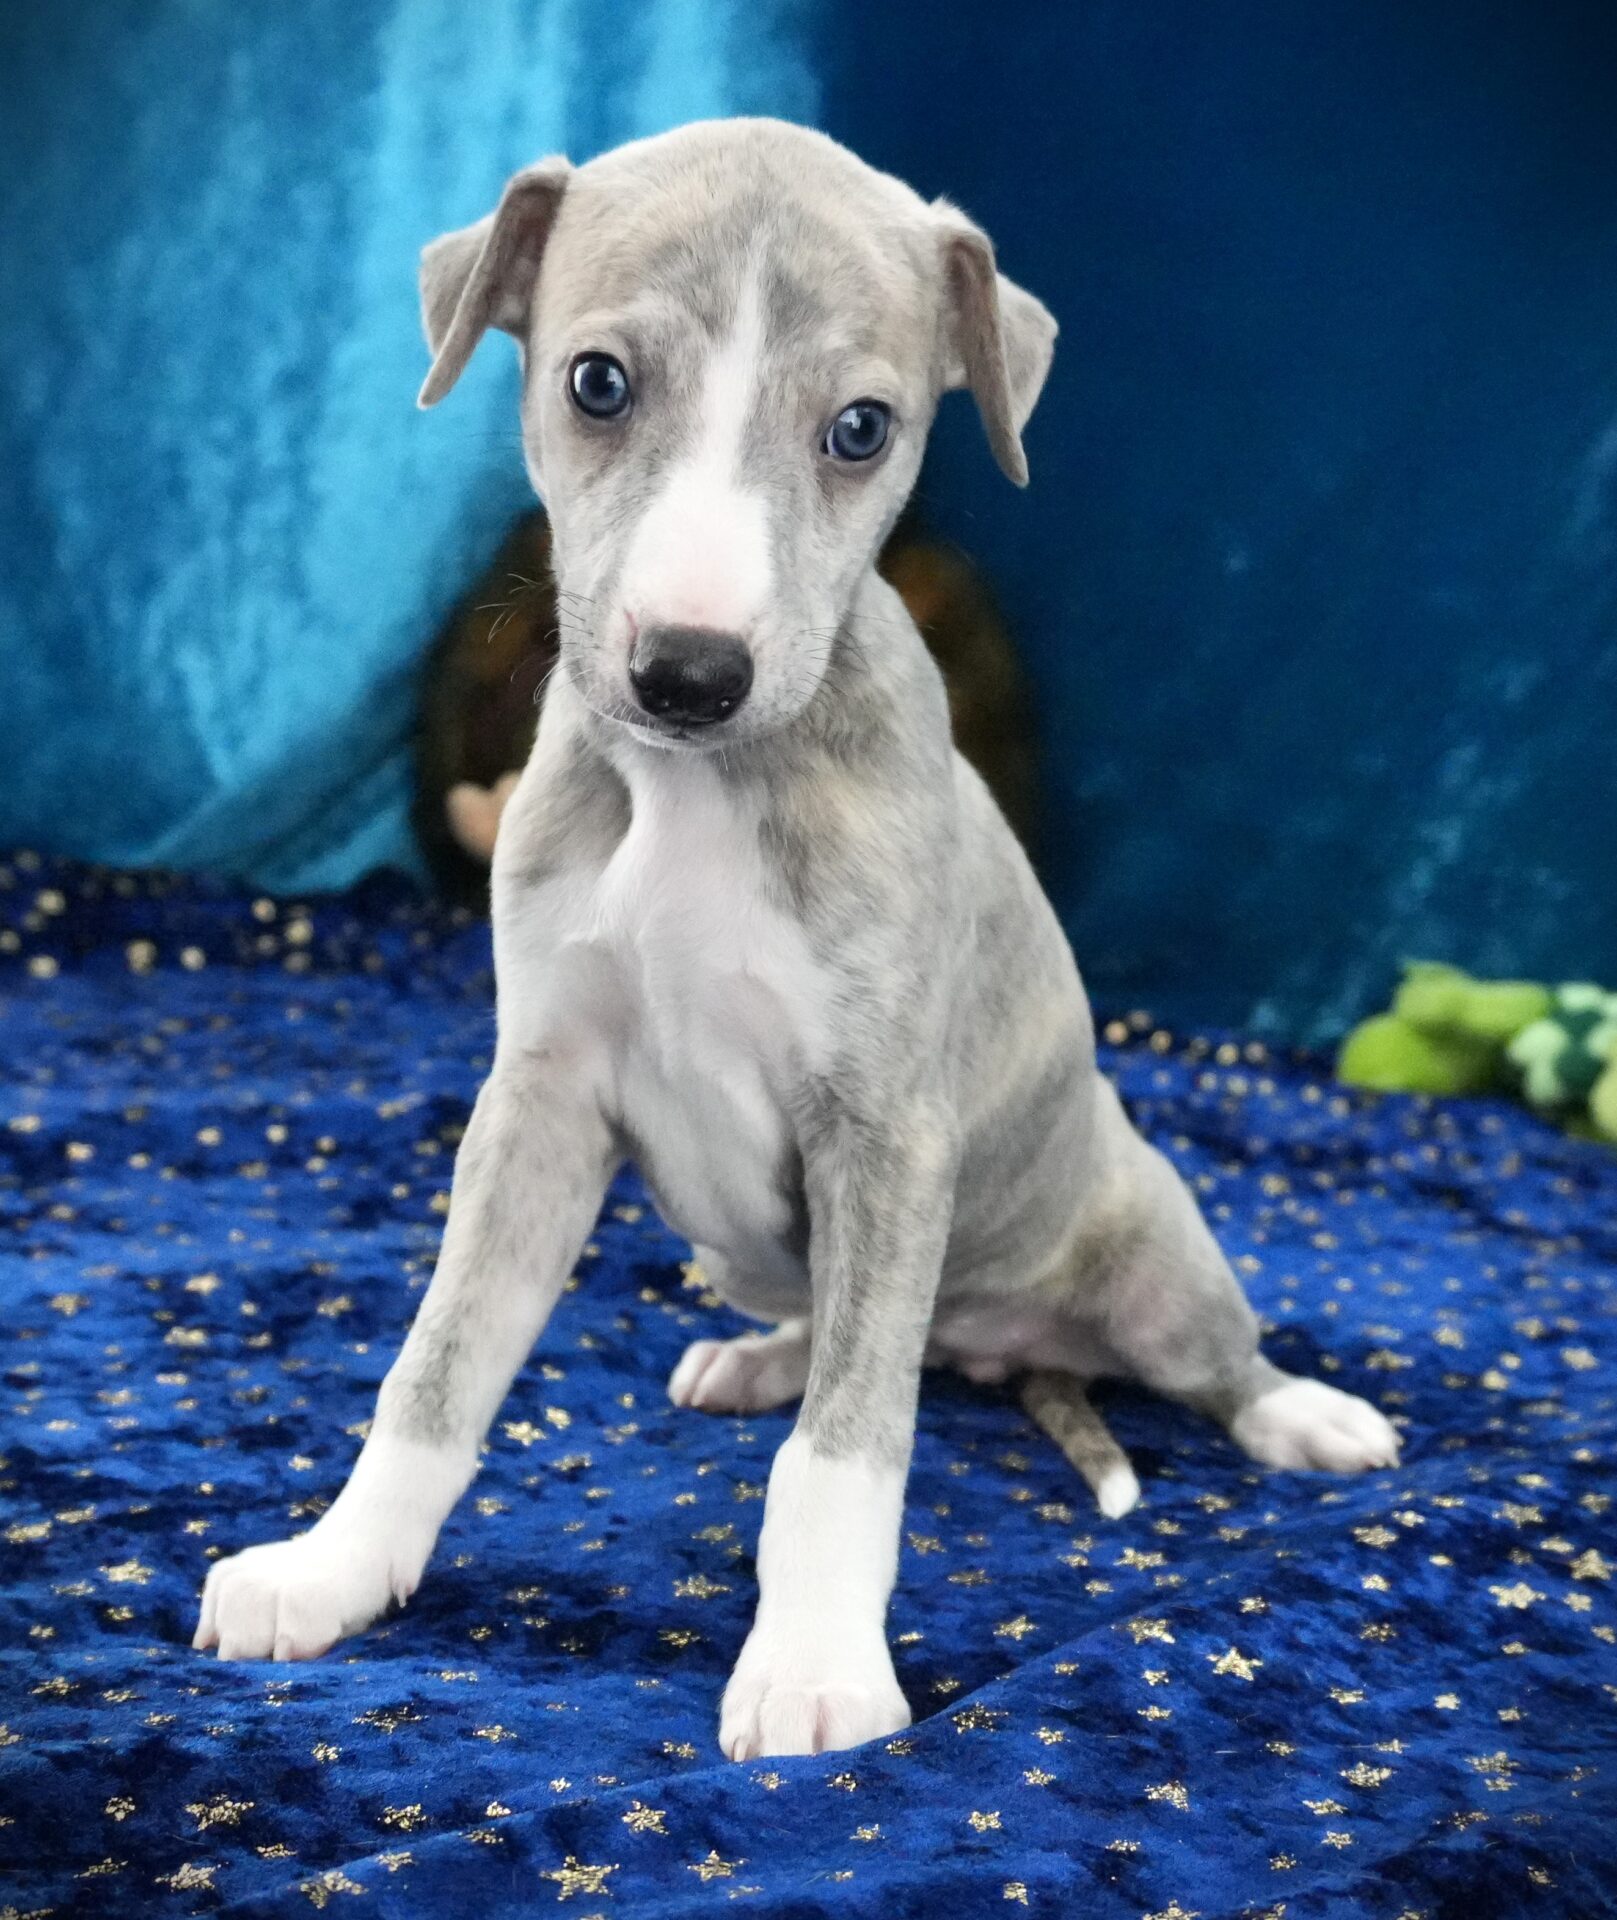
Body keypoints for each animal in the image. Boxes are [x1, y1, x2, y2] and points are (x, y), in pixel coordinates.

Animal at [194, 119, 1400, 1760]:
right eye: (595, 383)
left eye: (862, 429)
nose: (690, 672)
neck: (698, 792)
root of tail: (998, 1342)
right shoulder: (538, 1102)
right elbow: (435, 1370)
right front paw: (332, 1566)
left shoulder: (884, 1132)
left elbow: (850, 1450)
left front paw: (818, 1659)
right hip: (757, 1253)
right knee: (847, 1330)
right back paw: (759, 1360)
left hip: (1147, 1256)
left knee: (1180, 1361)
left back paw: (1303, 1414)